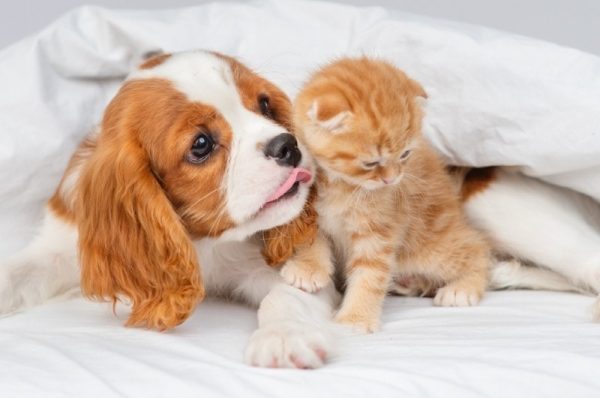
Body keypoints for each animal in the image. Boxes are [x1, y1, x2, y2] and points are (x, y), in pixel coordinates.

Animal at [0, 50, 338, 370]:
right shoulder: (63, 243)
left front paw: (283, 336)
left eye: (265, 104)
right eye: (201, 144)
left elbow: (284, 295)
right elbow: (15, 271)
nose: (288, 146)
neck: (202, 239)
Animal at [280, 58, 488, 332]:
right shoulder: (307, 210)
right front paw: (308, 269)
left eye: (405, 154)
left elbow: (370, 274)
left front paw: (356, 318)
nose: (392, 179)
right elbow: (309, 240)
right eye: (371, 163)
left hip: (430, 245)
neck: (341, 184)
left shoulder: (379, 231)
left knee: (478, 249)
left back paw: (463, 288)